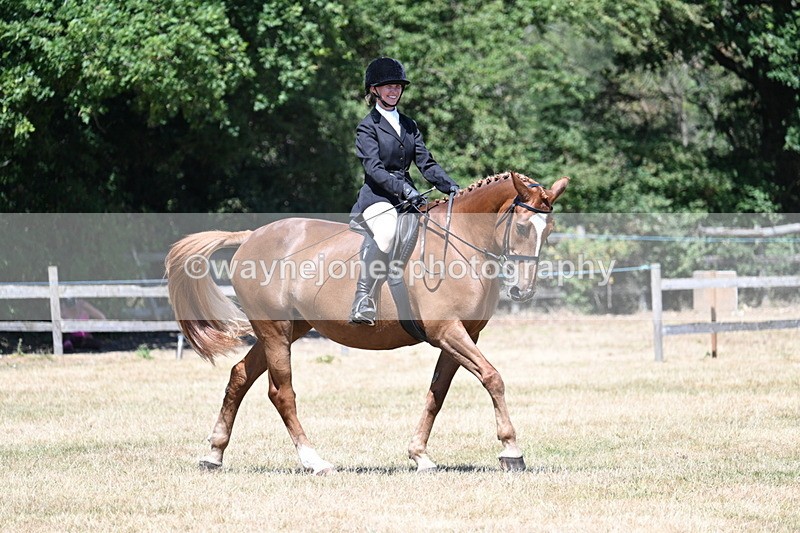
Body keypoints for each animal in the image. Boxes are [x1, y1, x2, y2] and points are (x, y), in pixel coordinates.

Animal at [165, 171, 569, 474]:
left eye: (548, 230)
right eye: (521, 229)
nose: (522, 291)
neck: (461, 244)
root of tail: (251, 238)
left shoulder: (462, 335)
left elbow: (437, 394)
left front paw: (420, 455)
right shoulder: (447, 331)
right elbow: (492, 378)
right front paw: (511, 451)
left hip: (288, 330)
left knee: (239, 377)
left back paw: (213, 455)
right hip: (274, 329)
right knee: (282, 393)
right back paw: (314, 461)